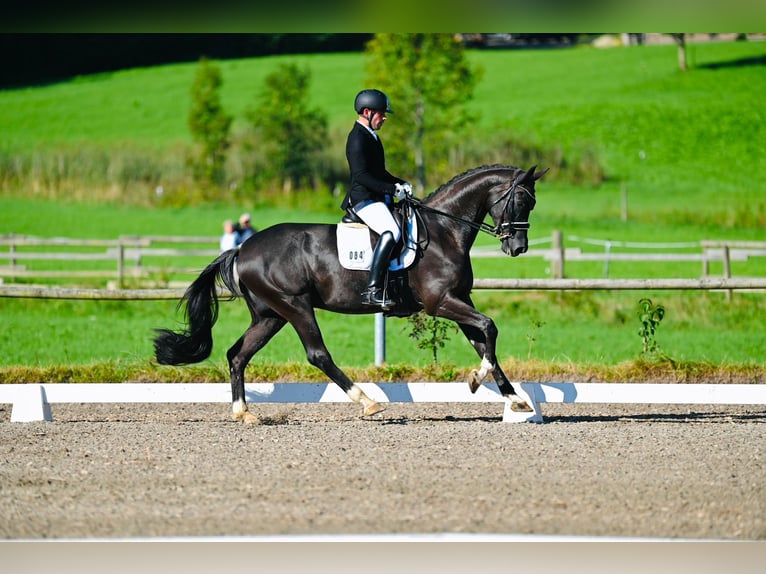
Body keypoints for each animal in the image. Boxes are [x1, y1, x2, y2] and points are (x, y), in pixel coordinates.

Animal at [154, 164, 544, 426]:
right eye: (520, 200)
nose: (518, 248)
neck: (444, 230)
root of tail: (243, 248)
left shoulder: (460, 300)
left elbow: (484, 342)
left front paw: (515, 399)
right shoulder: (441, 302)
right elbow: (490, 327)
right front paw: (477, 380)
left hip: (270, 315)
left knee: (237, 355)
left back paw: (244, 413)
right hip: (295, 306)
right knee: (317, 354)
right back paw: (367, 401)